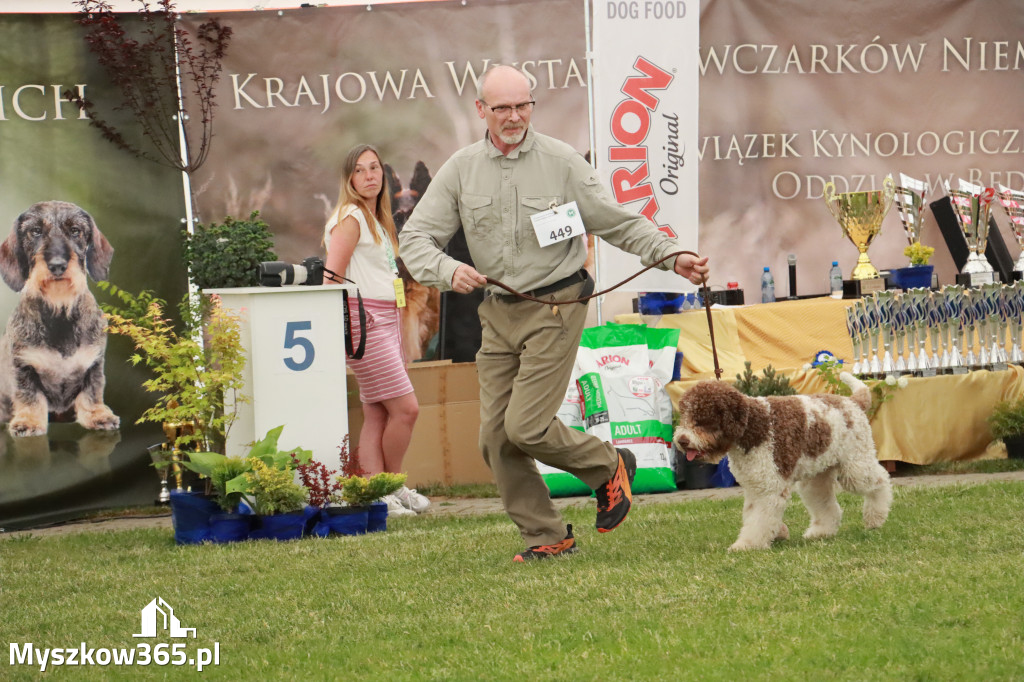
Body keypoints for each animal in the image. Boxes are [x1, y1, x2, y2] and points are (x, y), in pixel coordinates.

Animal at [671, 372, 888, 552]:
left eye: (701, 419)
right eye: (684, 416)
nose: (682, 440)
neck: (752, 426)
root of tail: (852, 402)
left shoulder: (769, 487)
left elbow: (758, 520)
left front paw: (747, 544)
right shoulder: (755, 486)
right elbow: (753, 515)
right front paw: (778, 533)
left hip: (855, 467)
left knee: (881, 480)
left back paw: (875, 519)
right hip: (816, 478)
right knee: (828, 506)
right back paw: (821, 532)